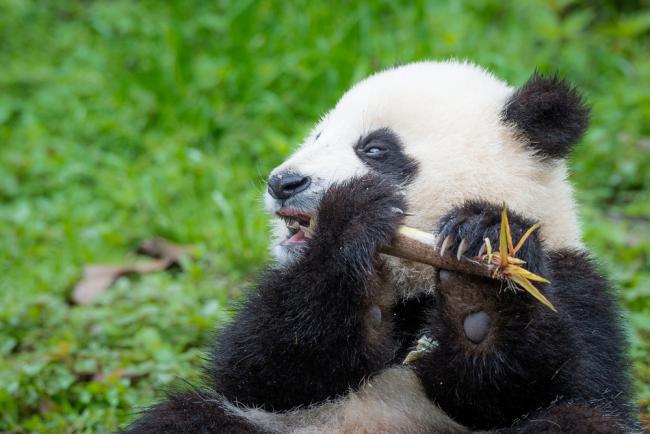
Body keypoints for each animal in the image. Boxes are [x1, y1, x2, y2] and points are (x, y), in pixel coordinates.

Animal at [123, 59, 636, 432]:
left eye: (374, 149)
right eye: (317, 136)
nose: (283, 183)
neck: (416, 280)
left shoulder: (575, 285)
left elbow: (563, 383)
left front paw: (481, 279)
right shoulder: (280, 346)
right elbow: (263, 369)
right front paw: (353, 225)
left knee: (575, 421)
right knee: (187, 417)